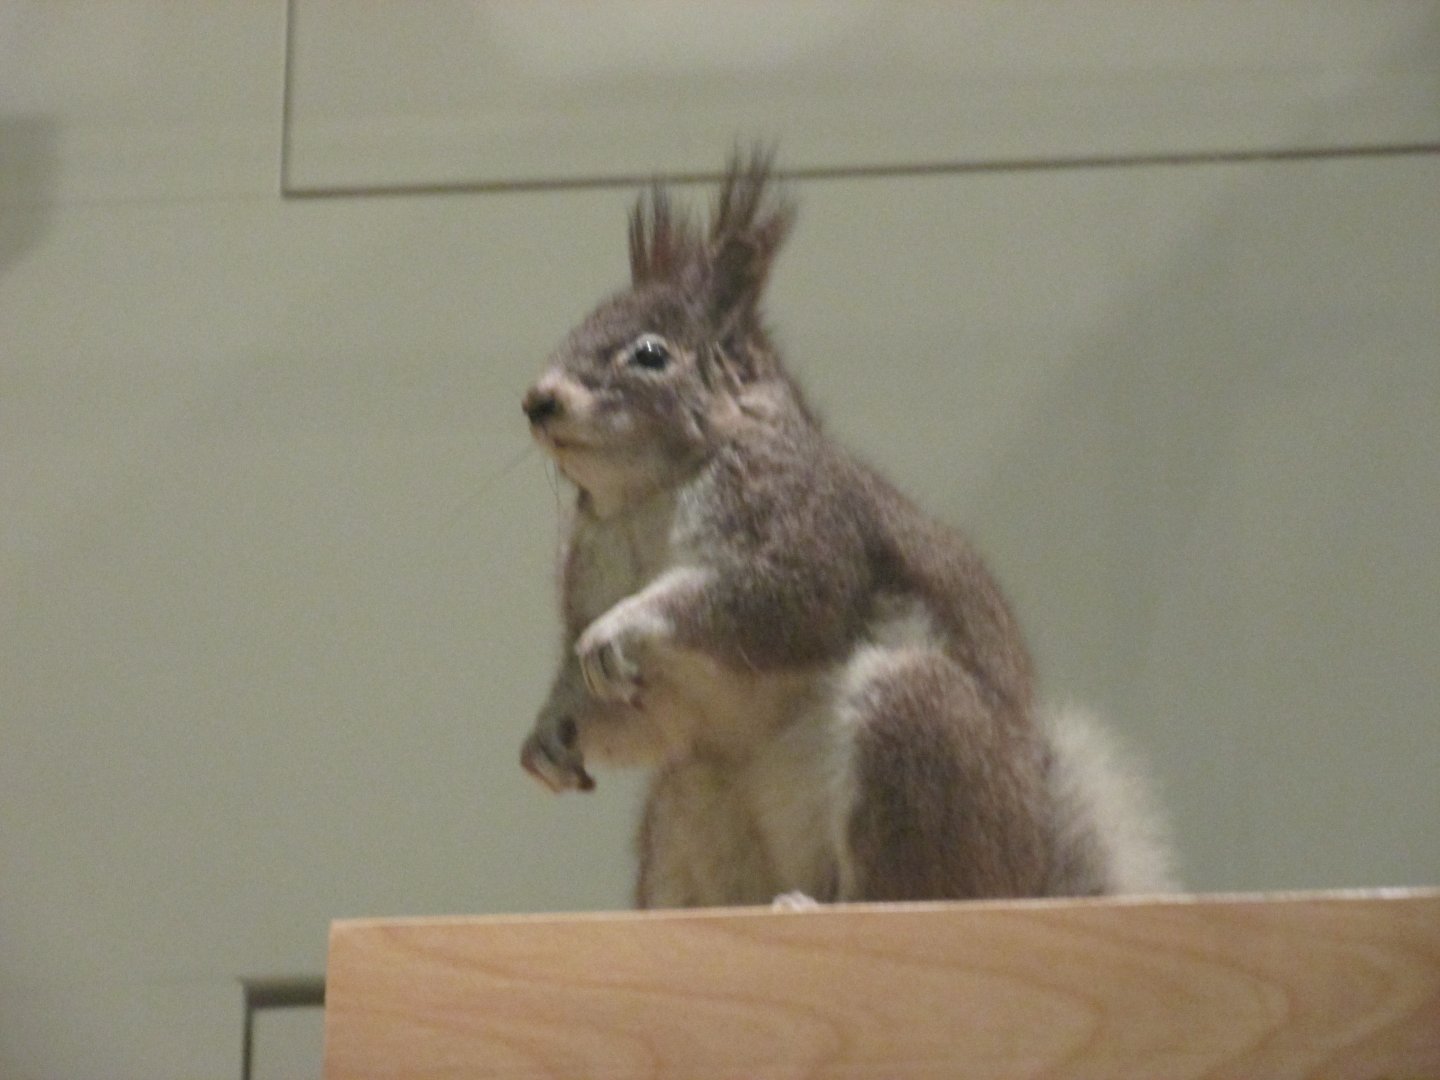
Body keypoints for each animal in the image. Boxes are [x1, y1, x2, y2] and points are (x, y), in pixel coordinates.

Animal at [519, 149, 1174, 907]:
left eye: (651, 354)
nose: (537, 400)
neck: (646, 496)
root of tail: (1024, 874)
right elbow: (640, 716)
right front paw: (548, 730)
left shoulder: (812, 528)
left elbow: (778, 599)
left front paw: (625, 623)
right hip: (688, 804)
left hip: (915, 731)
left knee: (898, 888)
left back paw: (807, 905)